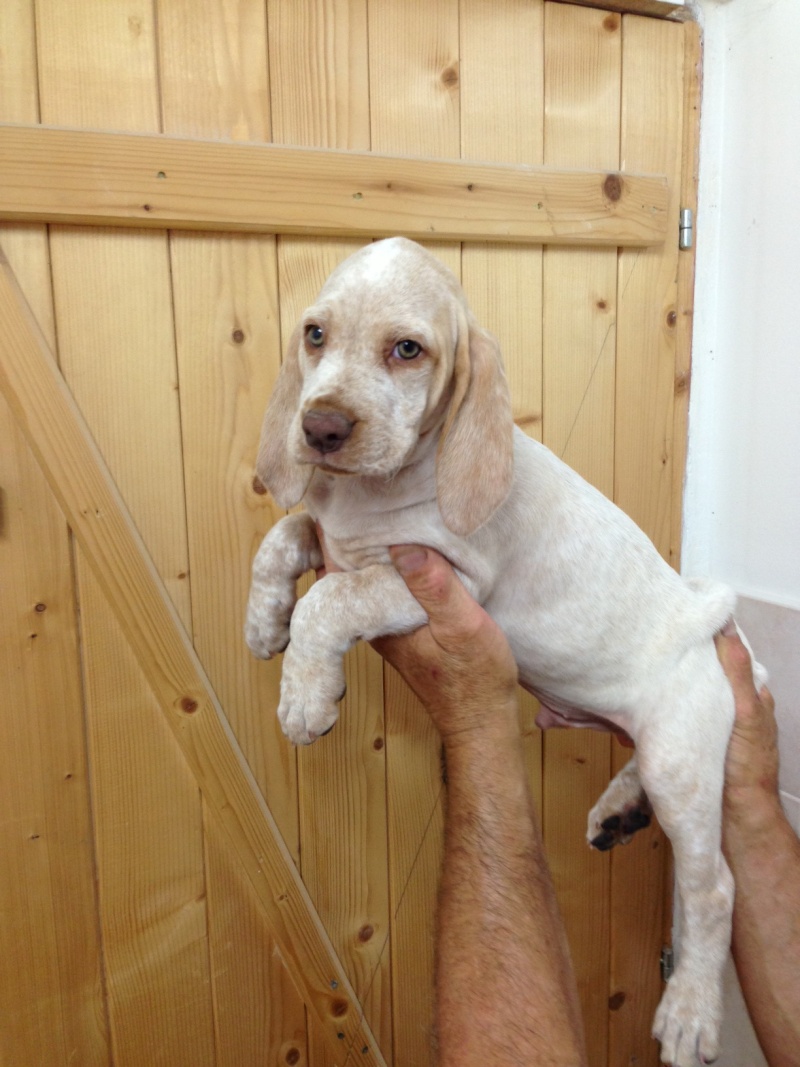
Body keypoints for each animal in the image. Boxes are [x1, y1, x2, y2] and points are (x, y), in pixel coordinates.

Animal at [245, 236, 767, 1066]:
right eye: (315, 335)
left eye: (407, 349)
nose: (320, 427)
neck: (366, 497)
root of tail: (703, 622)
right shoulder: (329, 539)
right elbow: (283, 537)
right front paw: (265, 622)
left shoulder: (438, 579)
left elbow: (329, 601)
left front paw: (304, 696)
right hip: (657, 746)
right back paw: (620, 808)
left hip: (682, 759)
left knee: (712, 886)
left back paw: (690, 1012)